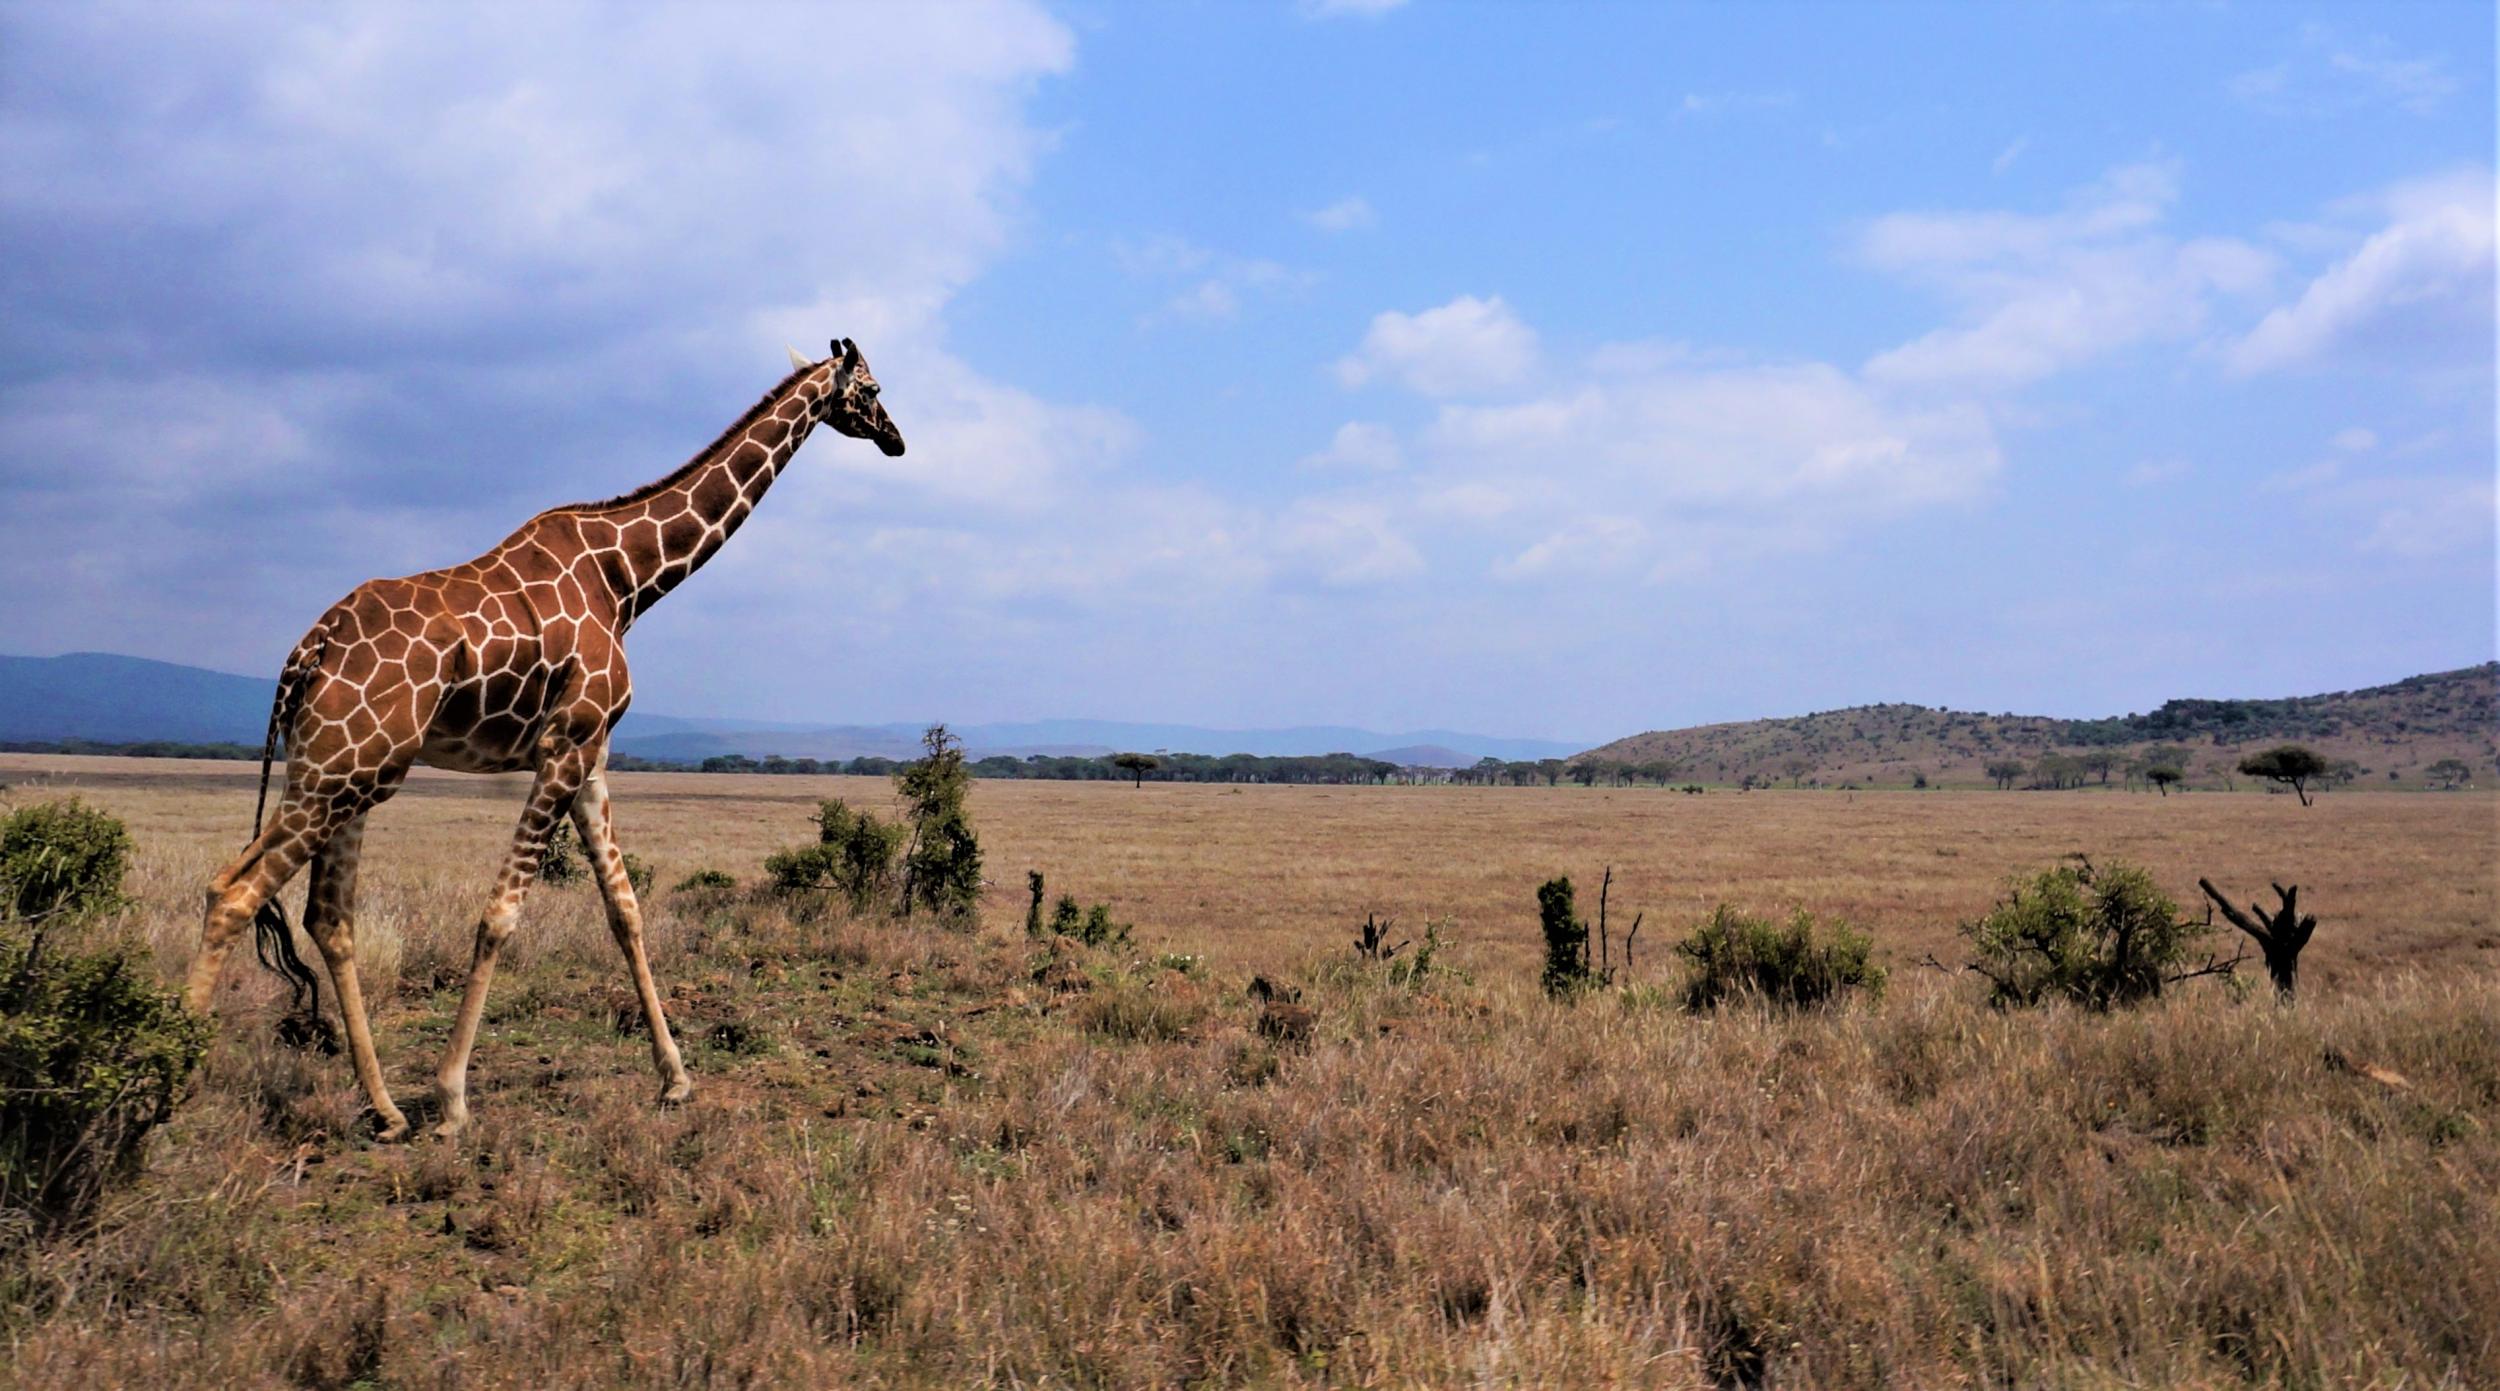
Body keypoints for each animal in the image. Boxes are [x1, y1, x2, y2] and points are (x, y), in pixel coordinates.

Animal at [187, 340, 910, 1140]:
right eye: (874, 388)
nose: (897, 441)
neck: (629, 580)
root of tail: (306, 652)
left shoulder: (591, 757)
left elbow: (624, 909)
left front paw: (676, 1079)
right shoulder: (566, 743)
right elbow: (500, 914)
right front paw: (452, 1098)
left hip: (344, 769)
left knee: (324, 915)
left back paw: (384, 1109)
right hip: (340, 771)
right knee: (235, 891)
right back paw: (167, 1087)